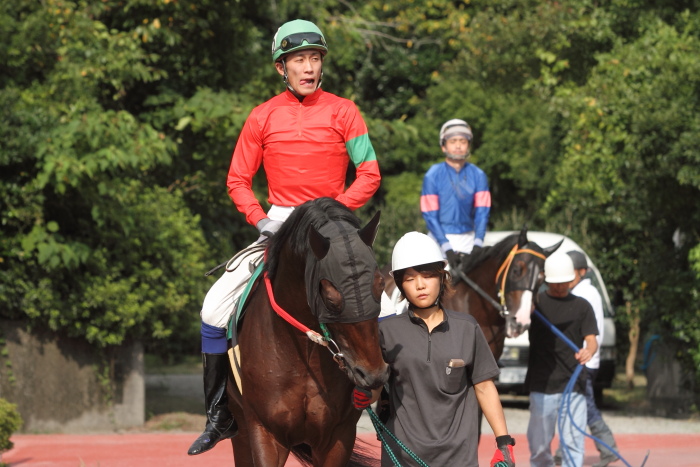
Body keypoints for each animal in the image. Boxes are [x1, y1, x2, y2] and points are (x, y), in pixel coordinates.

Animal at [228, 198, 388, 467]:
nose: (373, 375)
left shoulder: (337, 436)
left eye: (379, 284)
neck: (302, 351)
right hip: (240, 429)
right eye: (331, 295)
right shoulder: (265, 433)